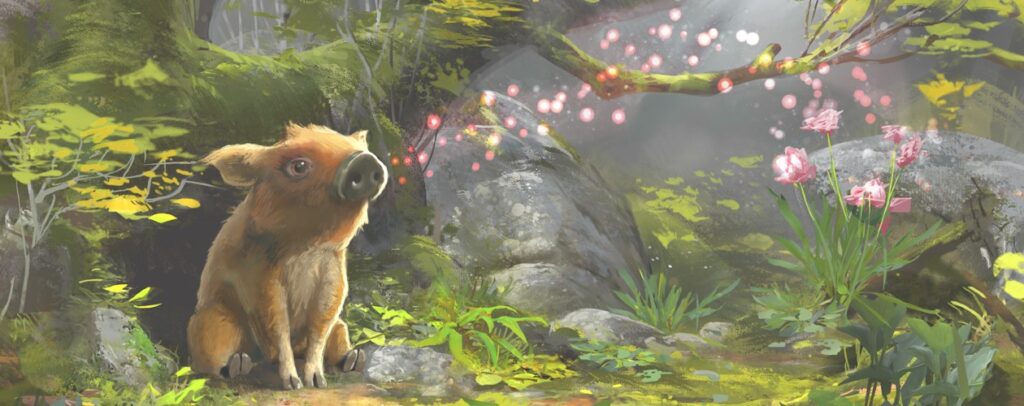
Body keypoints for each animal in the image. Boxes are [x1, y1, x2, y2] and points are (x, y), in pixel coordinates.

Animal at [187, 123, 387, 390]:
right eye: (298, 166)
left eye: (355, 148)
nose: (365, 159)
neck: (305, 249)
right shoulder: (261, 281)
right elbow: (277, 327)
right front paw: (293, 384)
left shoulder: (333, 277)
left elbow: (321, 325)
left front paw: (317, 382)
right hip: (210, 319)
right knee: (213, 354)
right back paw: (238, 365)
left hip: (341, 327)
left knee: (337, 334)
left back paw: (354, 359)